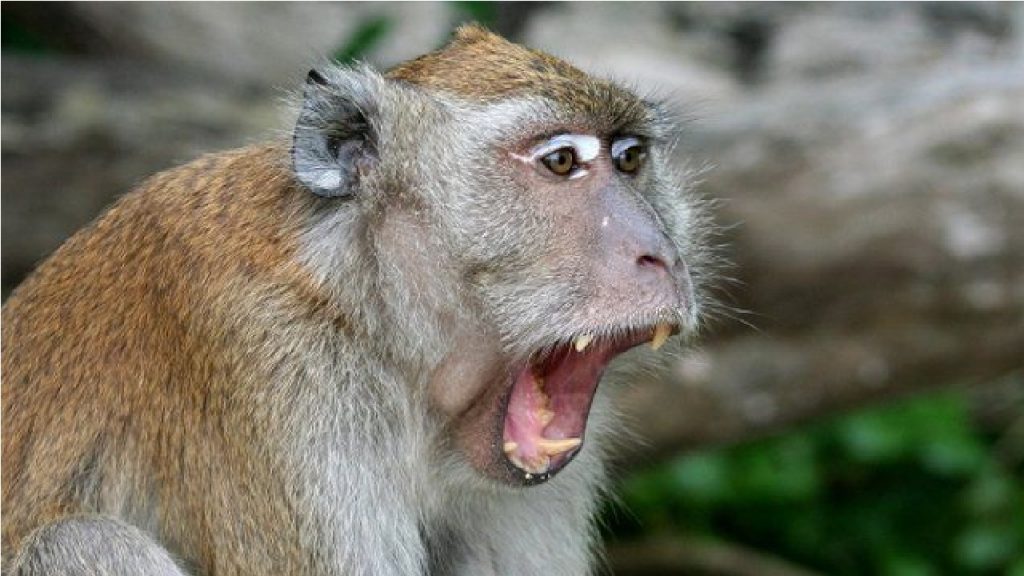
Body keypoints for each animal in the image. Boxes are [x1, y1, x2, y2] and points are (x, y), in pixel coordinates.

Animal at [1, 24, 710, 575]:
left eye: (630, 157)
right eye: (561, 161)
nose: (660, 255)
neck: (365, 304)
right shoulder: (273, 371)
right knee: (85, 542)